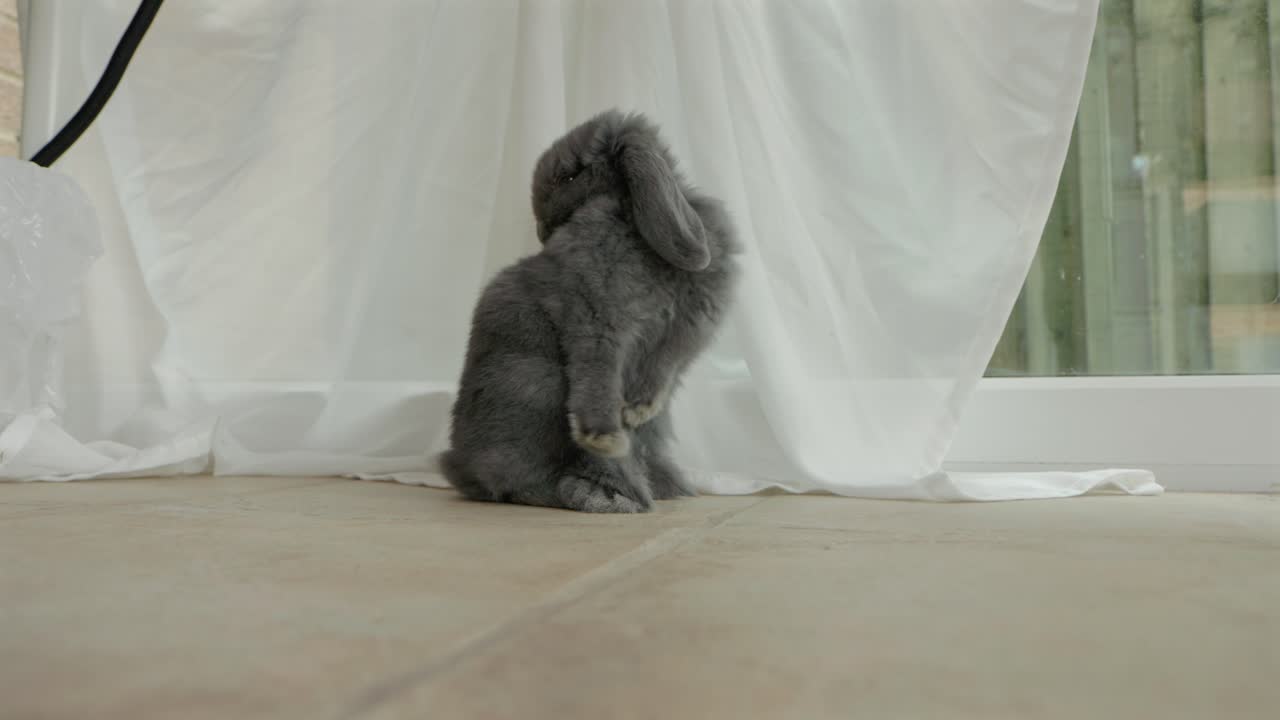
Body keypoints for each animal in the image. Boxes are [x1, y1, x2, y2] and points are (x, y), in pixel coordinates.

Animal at [440, 109, 740, 513]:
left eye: (570, 175)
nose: (541, 228)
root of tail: (458, 467)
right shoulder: (596, 320)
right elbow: (595, 380)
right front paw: (605, 438)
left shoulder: (685, 332)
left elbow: (660, 372)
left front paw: (638, 410)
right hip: (537, 386)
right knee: (514, 480)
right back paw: (602, 495)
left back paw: (662, 486)